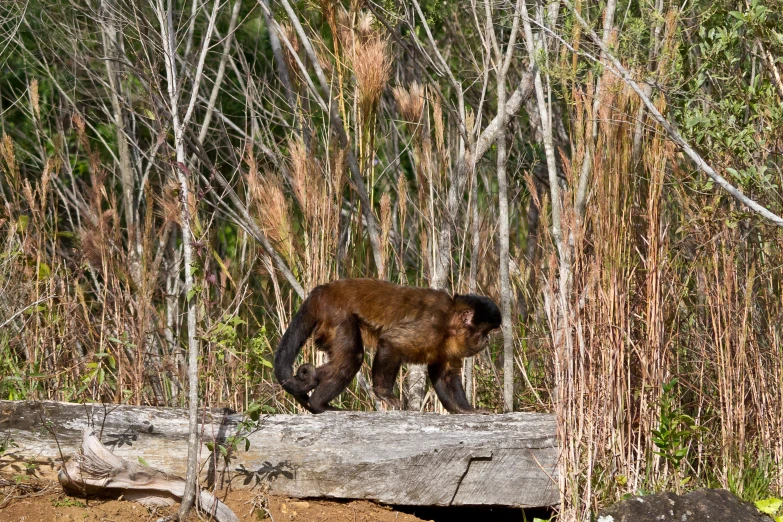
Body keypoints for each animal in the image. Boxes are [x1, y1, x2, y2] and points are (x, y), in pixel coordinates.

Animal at [272, 278, 502, 412]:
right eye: (483, 332)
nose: (486, 340)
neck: (449, 324)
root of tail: (321, 291)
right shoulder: (432, 326)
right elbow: (390, 342)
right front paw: (384, 393)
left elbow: (445, 375)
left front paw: (467, 411)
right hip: (335, 313)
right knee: (352, 356)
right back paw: (319, 405)